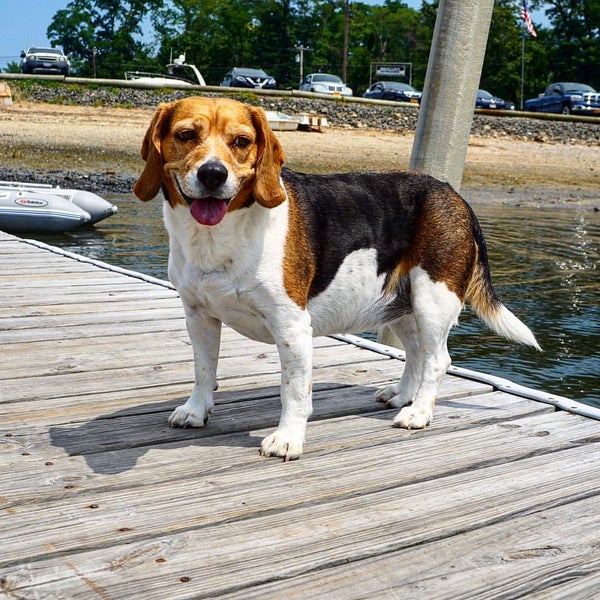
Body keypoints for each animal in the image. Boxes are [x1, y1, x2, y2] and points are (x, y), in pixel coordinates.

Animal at [134, 97, 540, 460]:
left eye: (241, 142)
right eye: (186, 135)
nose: (213, 174)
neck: (218, 236)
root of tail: (455, 195)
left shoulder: (292, 327)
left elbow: (294, 390)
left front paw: (287, 439)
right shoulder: (198, 316)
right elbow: (204, 370)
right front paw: (196, 410)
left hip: (432, 301)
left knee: (438, 359)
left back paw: (417, 412)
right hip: (401, 304)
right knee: (416, 352)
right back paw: (401, 394)